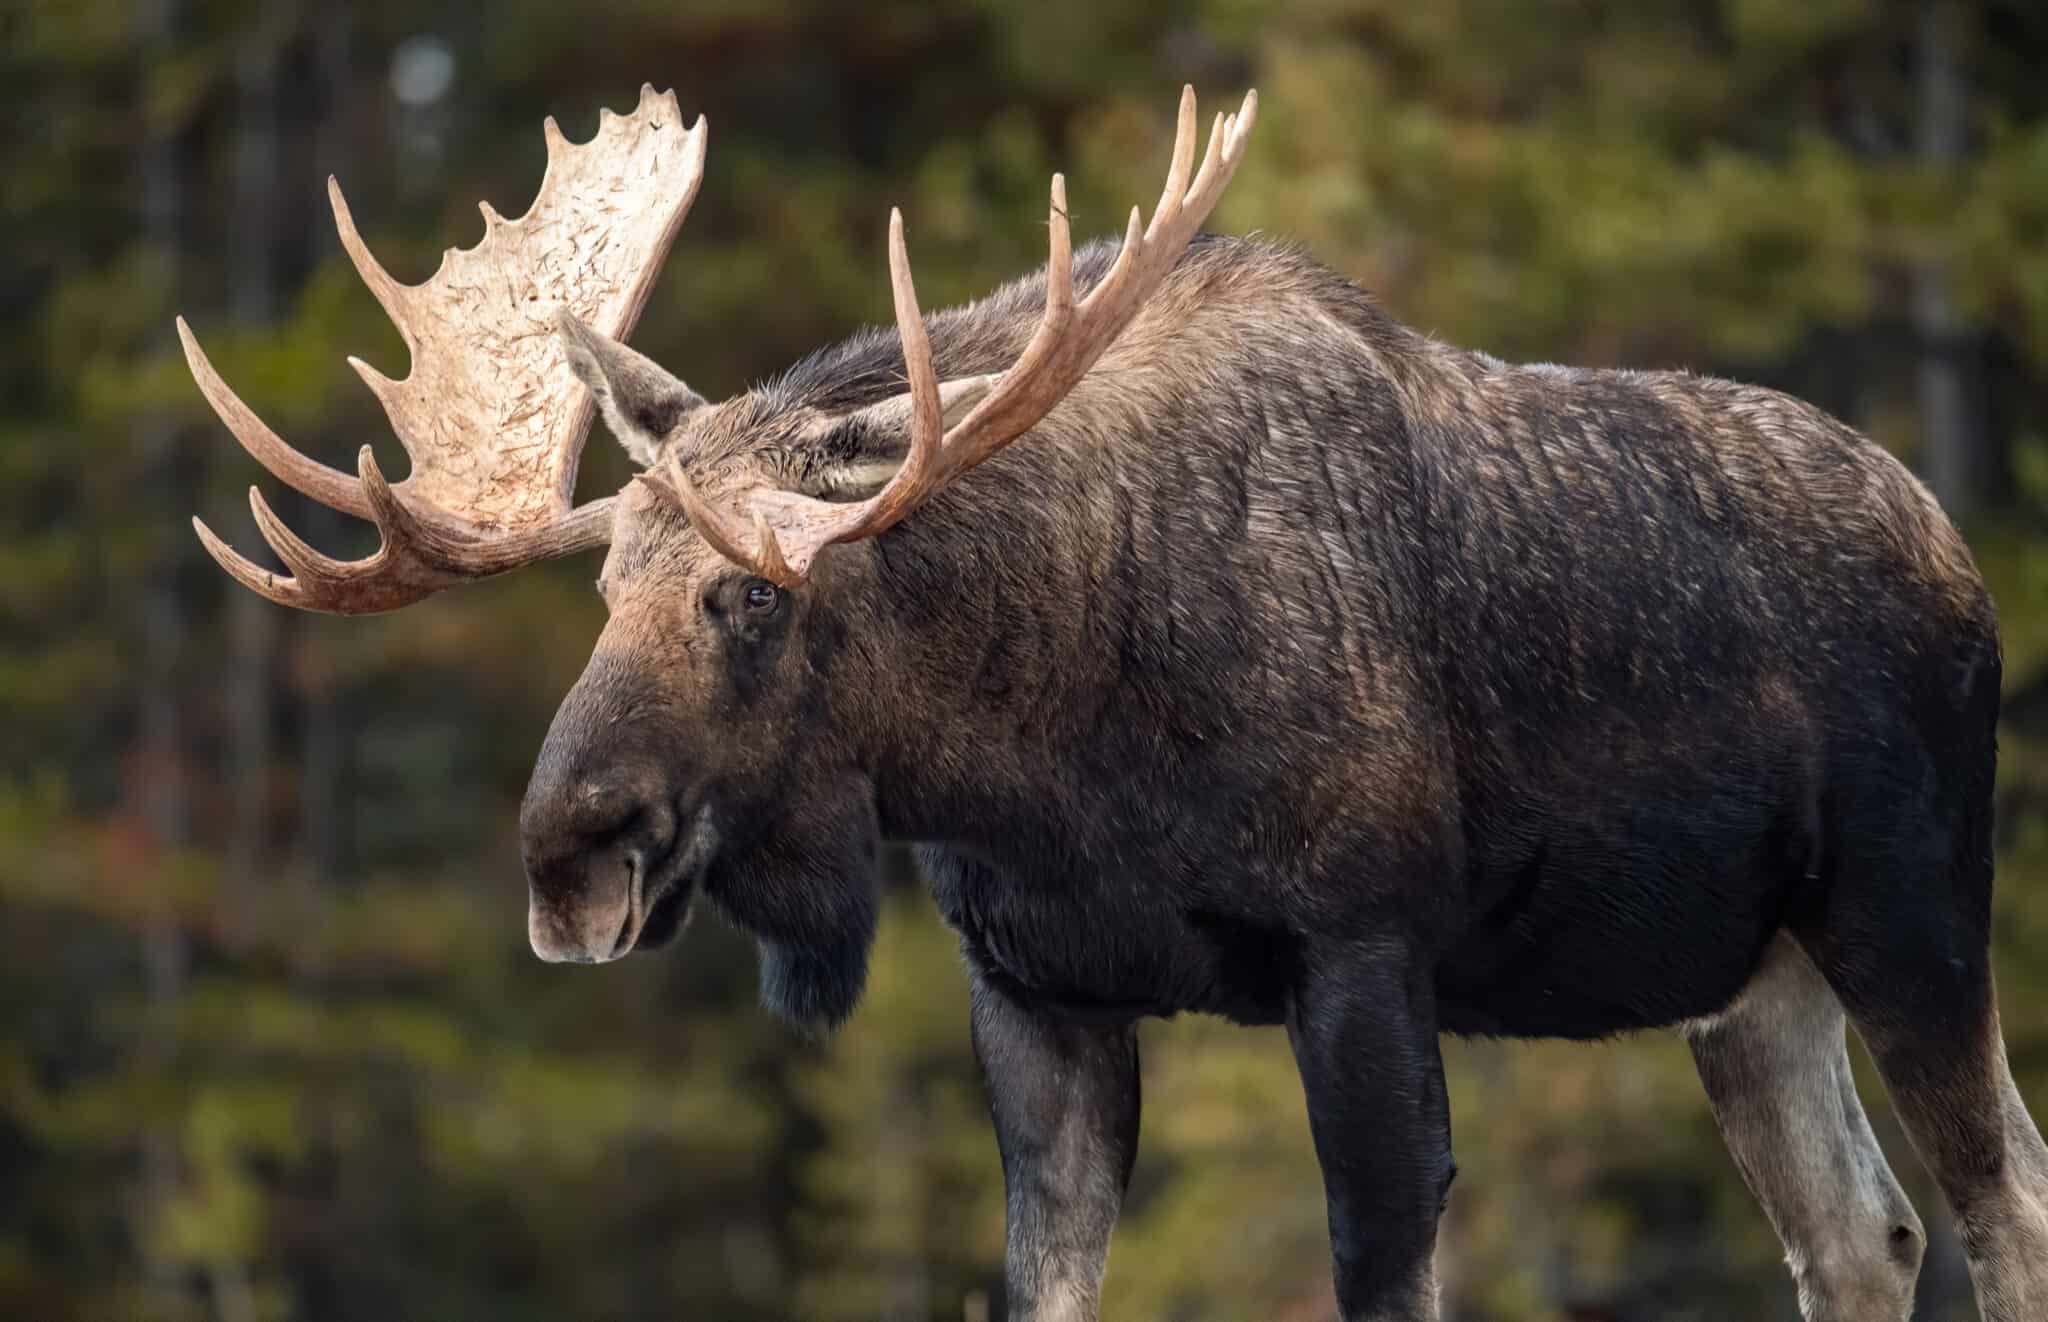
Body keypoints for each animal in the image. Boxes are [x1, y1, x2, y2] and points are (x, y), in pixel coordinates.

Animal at [179, 84, 2048, 1322]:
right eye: (600, 586)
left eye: (752, 593)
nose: (569, 848)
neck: (1046, 752)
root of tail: (1961, 560)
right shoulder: (1037, 987)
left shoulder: (1362, 948)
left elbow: (1380, 1266)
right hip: (1743, 976)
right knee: (1862, 1230)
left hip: (1906, 904)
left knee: (2001, 1194)